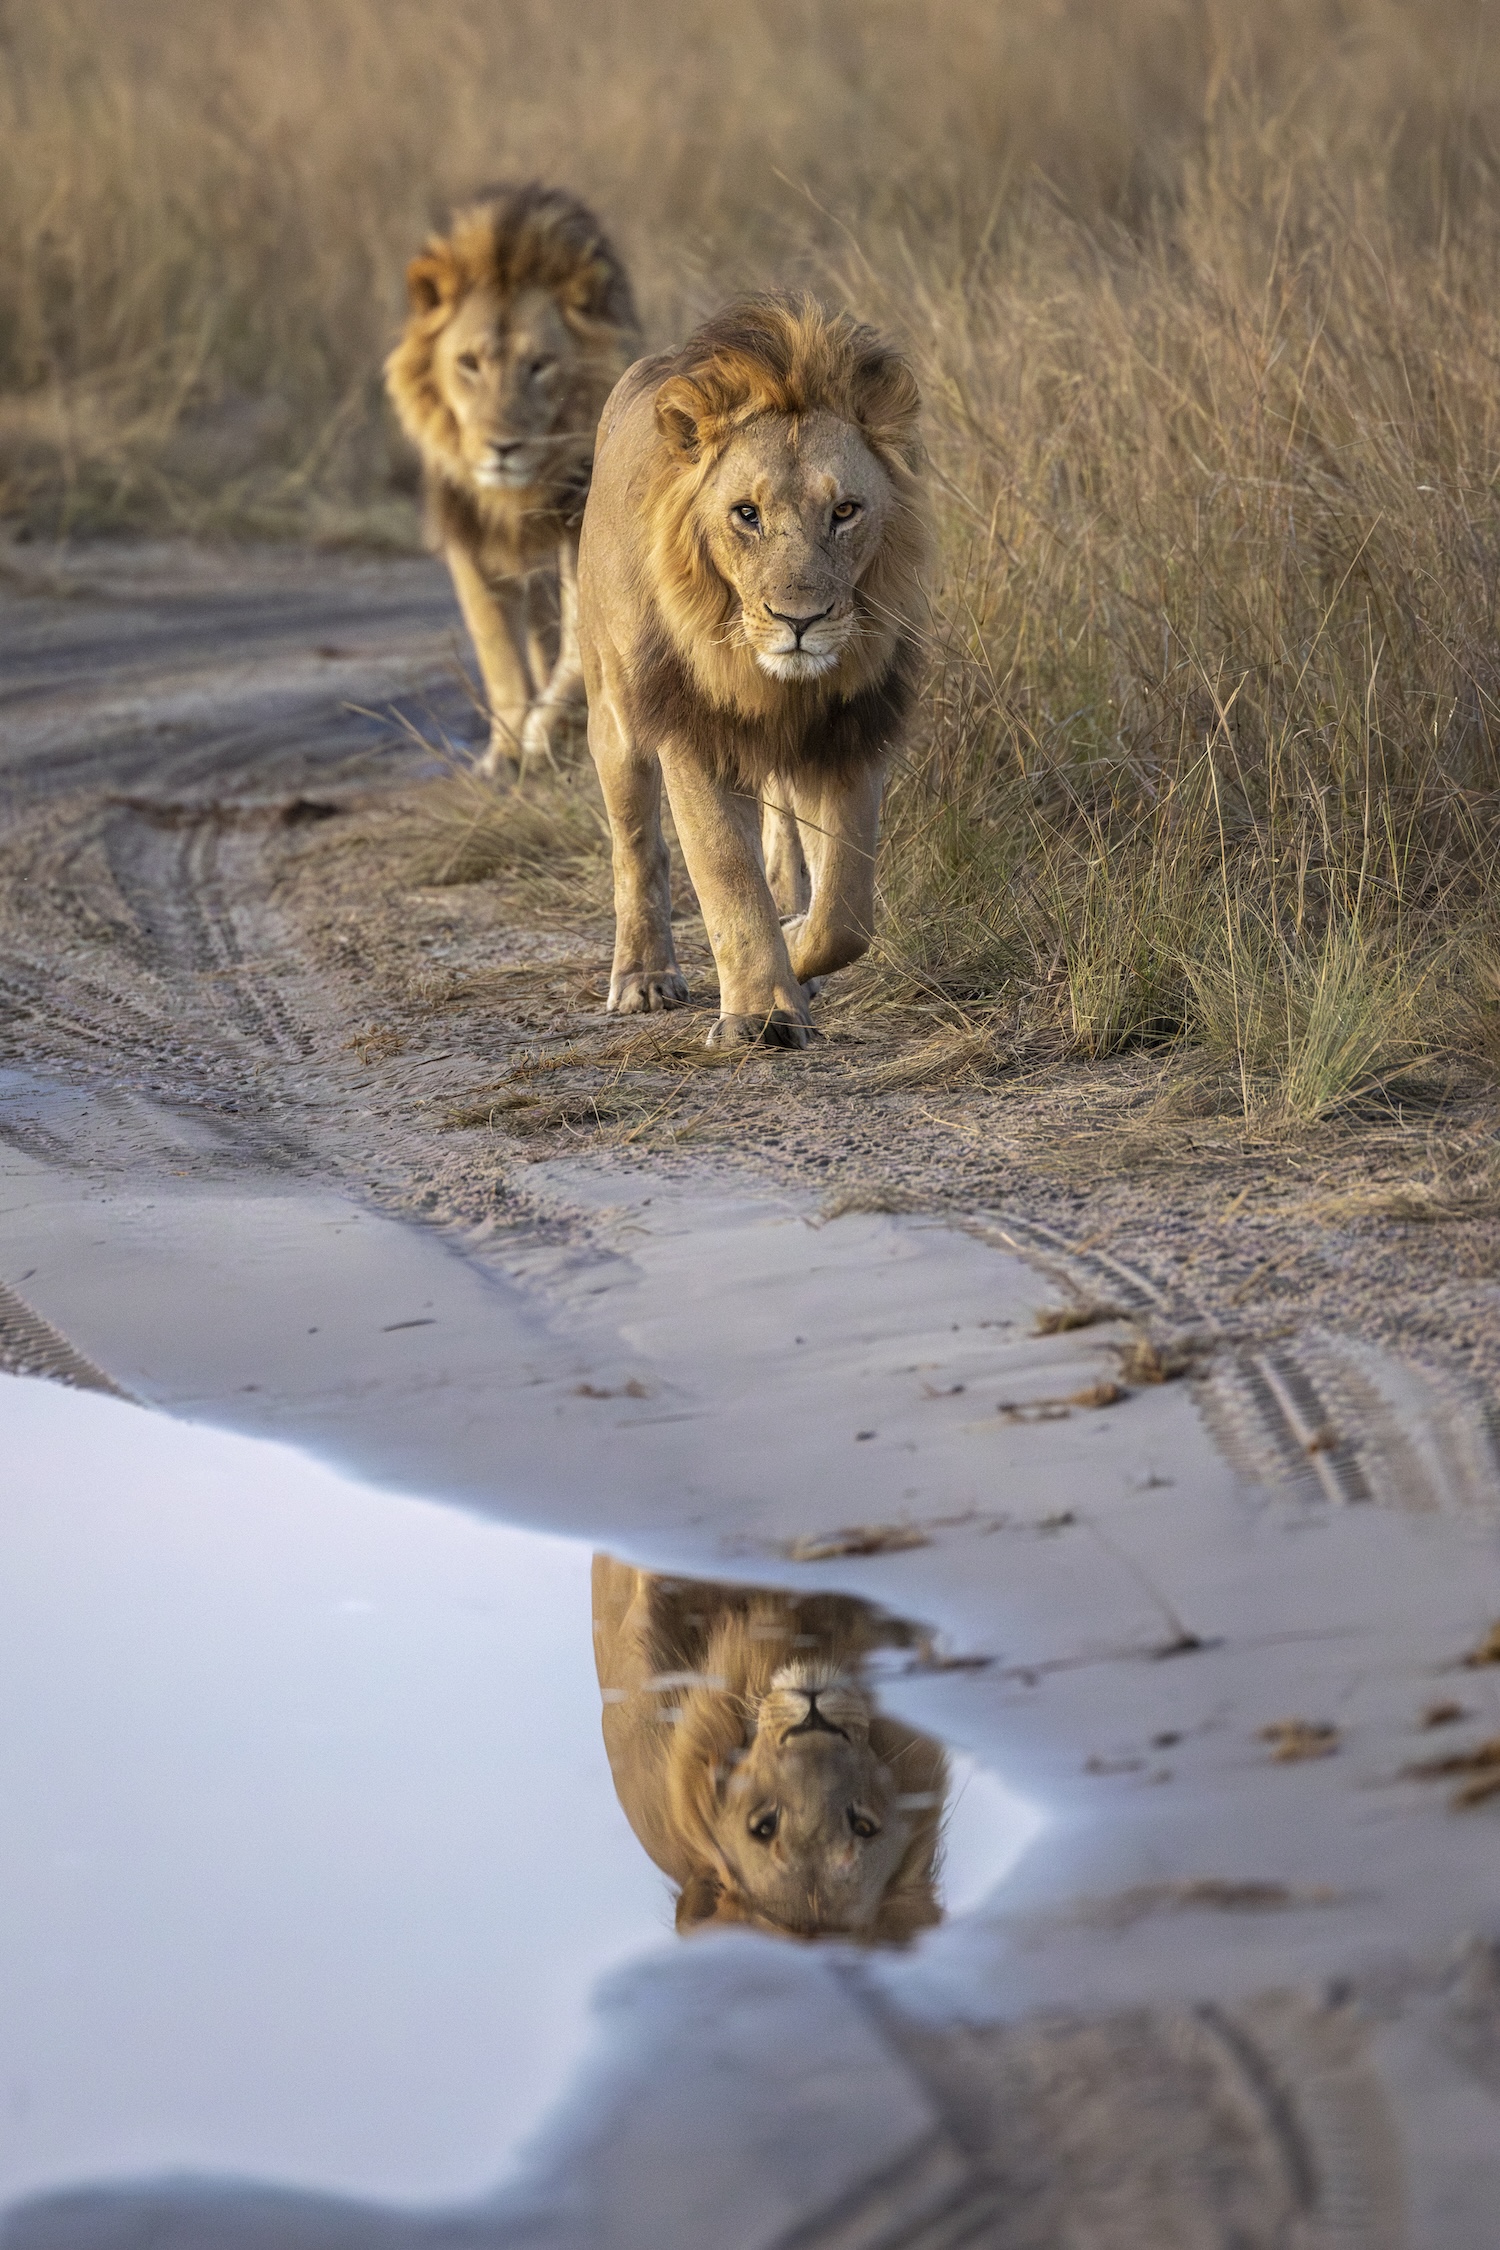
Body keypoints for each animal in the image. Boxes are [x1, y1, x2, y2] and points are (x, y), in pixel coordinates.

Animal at [385, 183, 640, 774]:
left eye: (540, 364)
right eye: (469, 363)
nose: (502, 447)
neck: (515, 494)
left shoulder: (578, 519)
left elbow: (577, 637)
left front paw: (547, 727)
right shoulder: (468, 533)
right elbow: (497, 649)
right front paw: (504, 753)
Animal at [576, 292, 931, 1045]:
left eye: (845, 511)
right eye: (747, 514)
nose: (800, 620)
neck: (774, 685)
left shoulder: (848, 732)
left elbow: (846, 908)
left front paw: (798, 948)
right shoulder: (693, 730)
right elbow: (726, 873)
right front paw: (761, 1013)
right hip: (614, 712)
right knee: (637, 848)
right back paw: (644, 978)